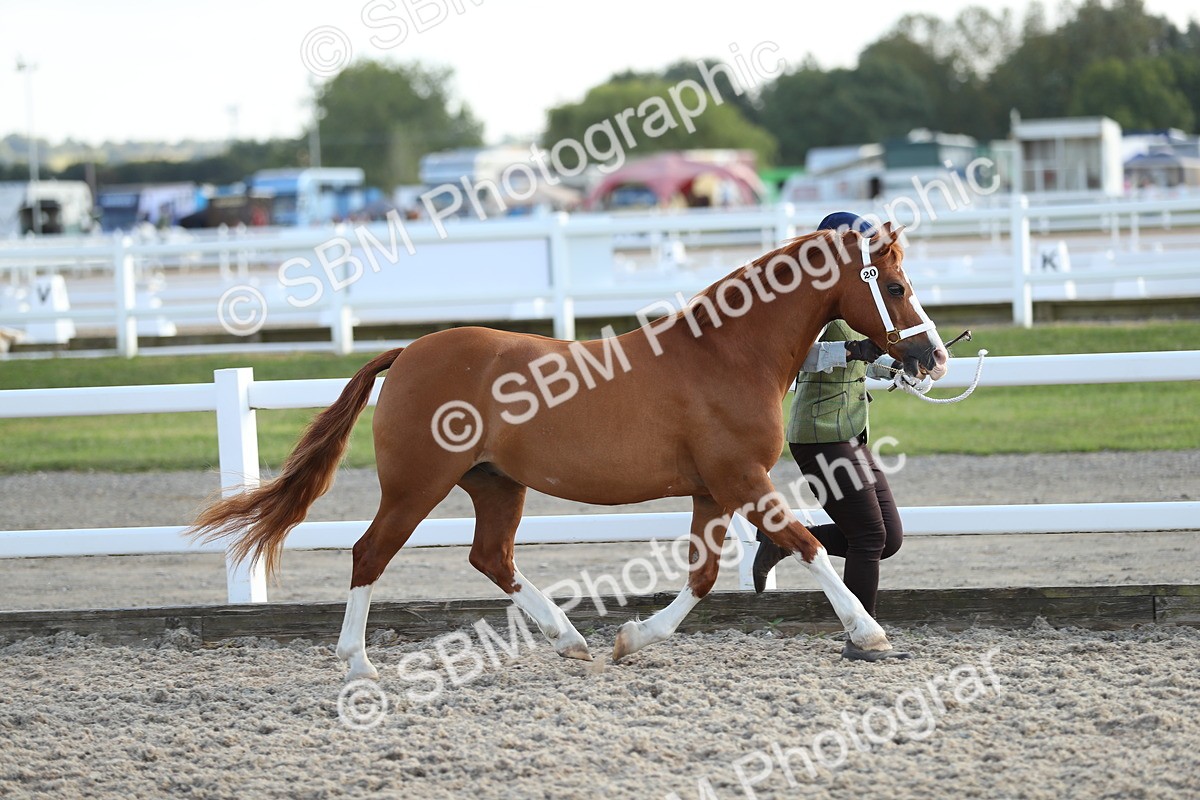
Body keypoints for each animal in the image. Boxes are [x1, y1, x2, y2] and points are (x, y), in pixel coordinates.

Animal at [188, 222, 948, 680]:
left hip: (495, 483)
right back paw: (357, 664)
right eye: (898, 286)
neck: (724, 354)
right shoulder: (743, 479)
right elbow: (808, 546)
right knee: (369, 555)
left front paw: (633, 639)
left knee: (490, 558)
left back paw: (571, 639)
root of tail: (407, 352)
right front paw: (870, 633)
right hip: (415, 486)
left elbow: (703, 577)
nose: (933, 358)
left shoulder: (712, 490)